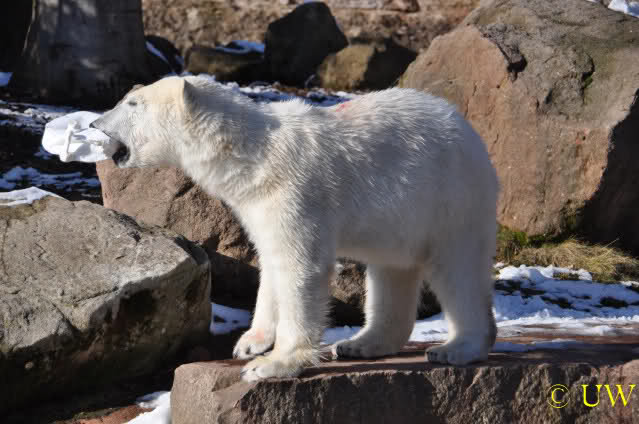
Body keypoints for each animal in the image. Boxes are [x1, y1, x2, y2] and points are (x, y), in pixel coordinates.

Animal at [91, 75, 499, 382]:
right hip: (402, 214)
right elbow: (271, 262)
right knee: (390, 269)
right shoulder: (257, 204)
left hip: (449, 197)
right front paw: (250, 342)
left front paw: (272, 365)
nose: (95, 122)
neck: (253, 154)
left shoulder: (296, 190)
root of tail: (470, 132)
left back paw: (457, 348)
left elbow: (299, 267)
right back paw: (362, 343)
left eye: (133, 103)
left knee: (457, 269)